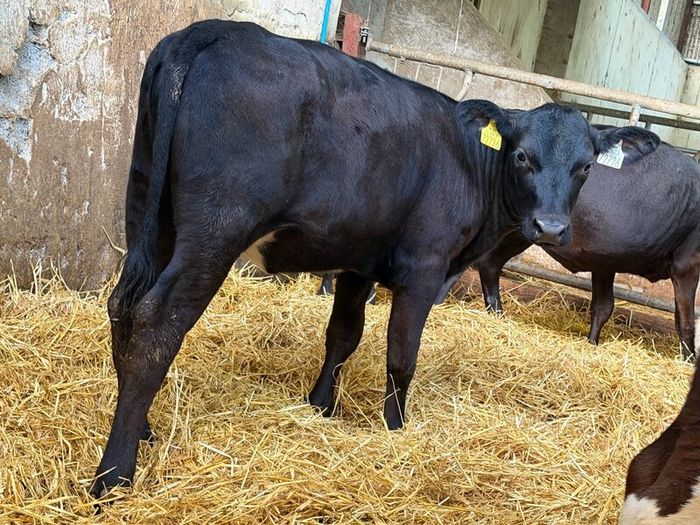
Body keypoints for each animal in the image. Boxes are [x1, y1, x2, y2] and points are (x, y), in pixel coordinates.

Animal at [90, 19, 659, 496]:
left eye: (586, 166)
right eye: (522, 155)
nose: (552, 227)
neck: (472, 165)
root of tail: (210, 30)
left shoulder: (358, 261)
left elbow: (343, 335)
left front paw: (321, 406)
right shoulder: (424, 270)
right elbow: (401, 355)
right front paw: (396, 428)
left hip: (148, 208)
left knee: (124, 306)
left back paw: (141, 429)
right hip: (215, 228)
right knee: (157, 320)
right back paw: (113, 475)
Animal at [472, 137, 699, 359]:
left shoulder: (605, 260)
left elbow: (603, 306)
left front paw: (592, 343)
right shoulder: (687, 263)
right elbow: (685, 320)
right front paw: (689, 361)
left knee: (489, 263)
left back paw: (498, 316)